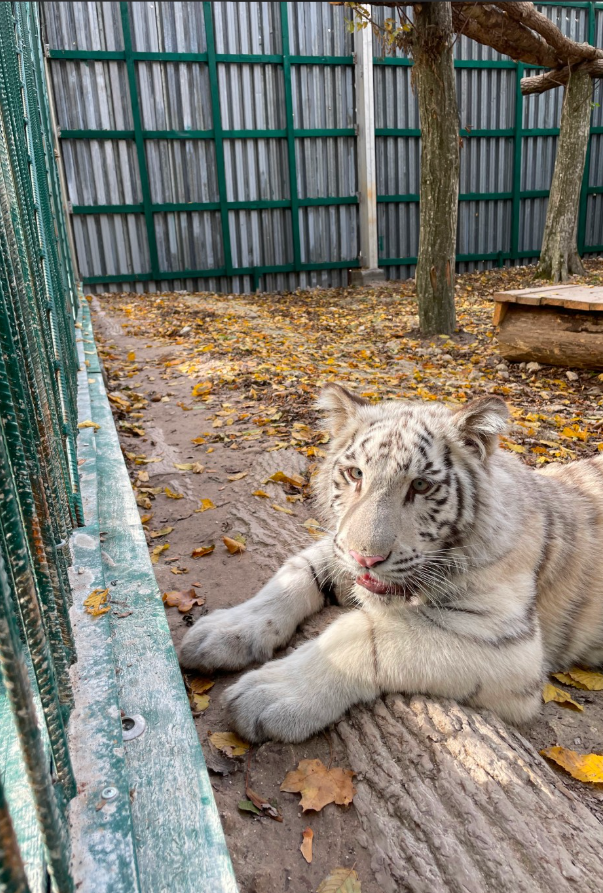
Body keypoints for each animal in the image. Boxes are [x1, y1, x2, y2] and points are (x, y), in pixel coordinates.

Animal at [179, 384, 603, 743]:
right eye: (355, 474)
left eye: (421, 485)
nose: (365, 558)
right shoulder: (336, 546)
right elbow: (292, 577)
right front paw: (223, 631)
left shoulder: (509, 644)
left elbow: (365, 633)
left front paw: (272, 692)